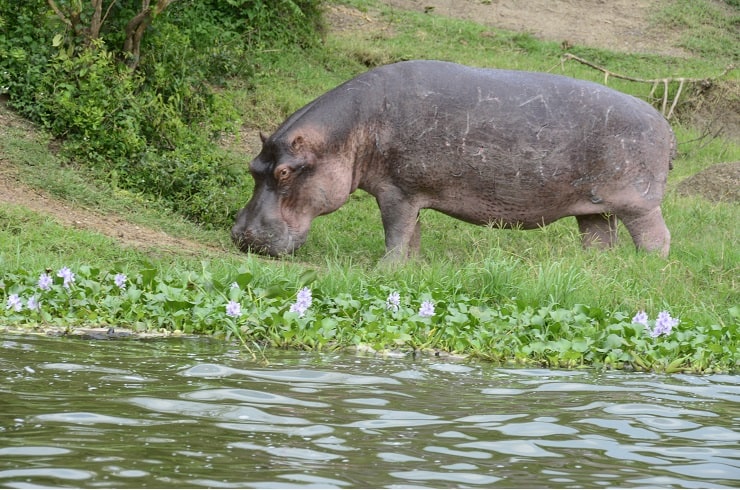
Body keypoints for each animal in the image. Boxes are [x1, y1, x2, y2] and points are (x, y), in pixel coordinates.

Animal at [232, 60, 675, 260]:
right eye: (253, 167)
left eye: (285, 171)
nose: (241, 235)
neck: (350, 131)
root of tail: (665, 123)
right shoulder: (409, 194)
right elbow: (412, 233)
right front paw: (412, 267)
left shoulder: (397, 190)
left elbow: (395, 232)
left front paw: (383, 268)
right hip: (595, 206)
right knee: (599, 241)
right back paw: (595, 271)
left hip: (638, 202)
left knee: (656, 238)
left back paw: (646, 268)